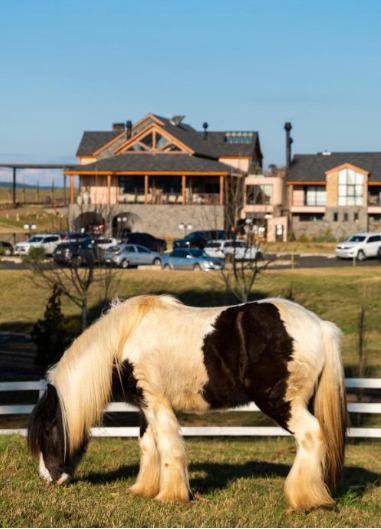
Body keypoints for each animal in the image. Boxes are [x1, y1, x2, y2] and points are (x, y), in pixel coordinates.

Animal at [28, 294, 346, 510]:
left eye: (48, 430)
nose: (47, 478)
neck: (124, 339)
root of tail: (320, 327)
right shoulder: (146, 405)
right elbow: (148, 445)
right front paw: (143, 489)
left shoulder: (157, 402)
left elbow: (168, 447)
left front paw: (170, 496)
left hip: (282, 404)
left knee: (311, 436)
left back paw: (305, 499)